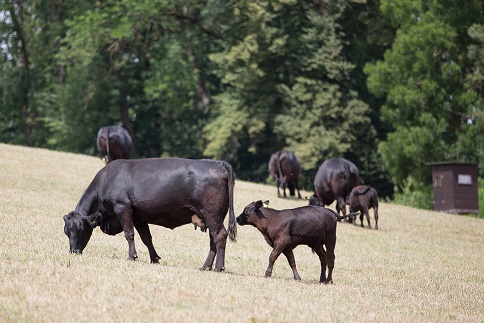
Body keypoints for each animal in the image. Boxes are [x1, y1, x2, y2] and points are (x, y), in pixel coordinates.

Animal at [63, 158, 237, 272]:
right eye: (66, 232)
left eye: (80, 229)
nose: (73, 251)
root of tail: (219, 164)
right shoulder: (139, 217)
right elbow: (146, 238)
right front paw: (154, 259)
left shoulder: (122, 208)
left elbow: (129, 234)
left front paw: (132, 256)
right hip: (213, 217)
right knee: (213, 239)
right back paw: (205, 266)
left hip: (211, 214)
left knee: (219, 236)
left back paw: (218, 267)